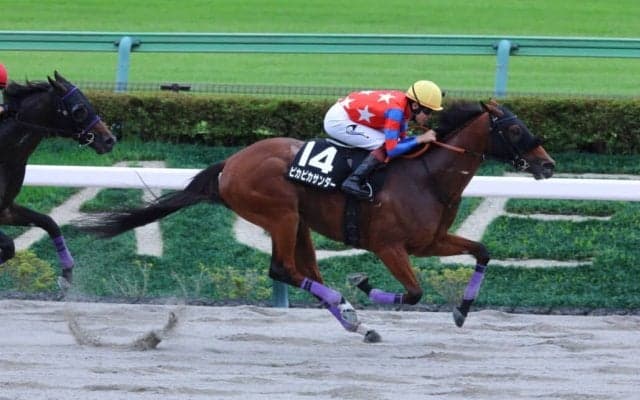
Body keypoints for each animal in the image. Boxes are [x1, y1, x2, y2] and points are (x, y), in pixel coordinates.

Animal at [0, 71, 116, 289]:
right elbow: (9, 244)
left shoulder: (6, 209)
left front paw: (67, 273)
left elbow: (49, 222)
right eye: (79, 110)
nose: (109, 140)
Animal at [80, 99, 554, 342]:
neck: (426, 176)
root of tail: (231, 163)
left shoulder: (431, 241)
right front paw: (364, 283)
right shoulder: (388, 246)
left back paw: (354, 320)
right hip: (280, 214)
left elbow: (483, 252)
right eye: (514, 129)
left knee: (305, 270)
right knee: (283, 269)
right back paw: (351, 309)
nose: (547, 165)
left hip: (299, 222)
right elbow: (415, 292)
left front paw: (461, 310)